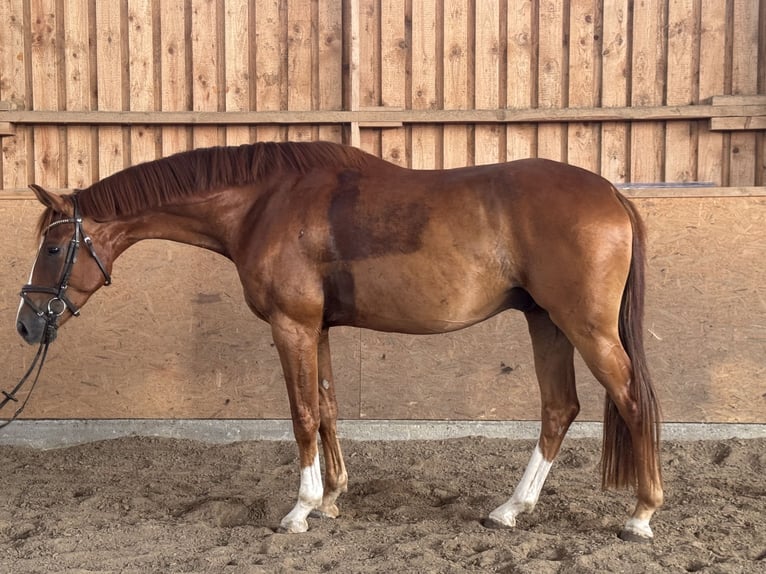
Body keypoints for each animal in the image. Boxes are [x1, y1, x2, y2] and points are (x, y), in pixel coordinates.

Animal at [15, 141, 662, 541]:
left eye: (54, 246)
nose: (26, 324)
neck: (263, 205)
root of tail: (611, 193)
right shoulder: (317, 330)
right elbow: (325, 406)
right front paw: (330, 499)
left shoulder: (292, 326)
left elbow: (302, 414)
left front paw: (300, 510)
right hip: (546, 322)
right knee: (560, 408)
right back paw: (510, 509)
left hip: (584, 327)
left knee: (632, 401)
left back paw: (641, 514)